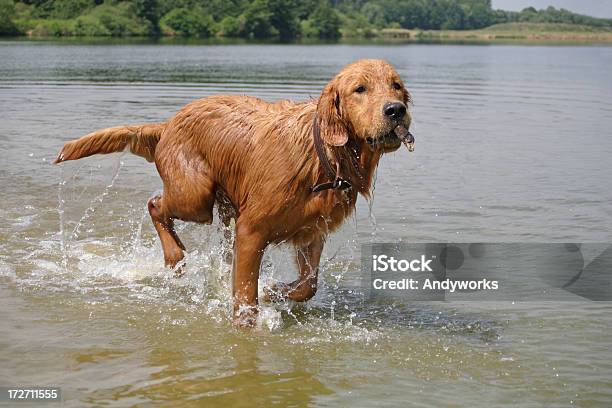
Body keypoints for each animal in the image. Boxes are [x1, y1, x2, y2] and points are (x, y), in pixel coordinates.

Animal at [55, 59, 414, 326]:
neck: (320, 157)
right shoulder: (252, 230)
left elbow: (308, 285)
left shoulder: (312, 231)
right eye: (360, 89)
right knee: (155, 203)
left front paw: (274, 290)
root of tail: (168, 123)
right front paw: (247, 324)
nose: (396, 110)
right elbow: (245, 296)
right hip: (194, 195)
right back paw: (175, 257)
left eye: (396, 85)